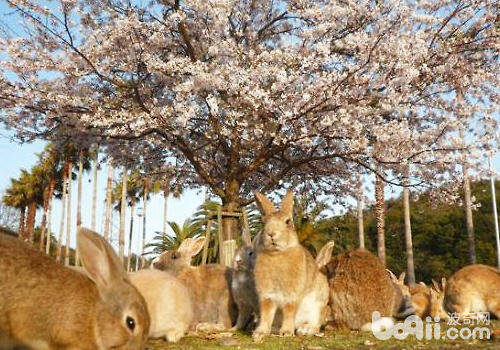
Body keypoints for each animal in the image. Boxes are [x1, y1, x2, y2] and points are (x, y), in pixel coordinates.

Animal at [252, 190, 330, 340]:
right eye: (263, 223)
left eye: (288, 222)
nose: (271, 233)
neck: (277, 254)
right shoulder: (267, 296)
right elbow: (266, 313)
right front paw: (259, 333)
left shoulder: (292, 295)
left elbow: (289, 311)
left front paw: (286, 332)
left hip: (318, 305)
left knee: (316, 323)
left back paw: (305, 329)